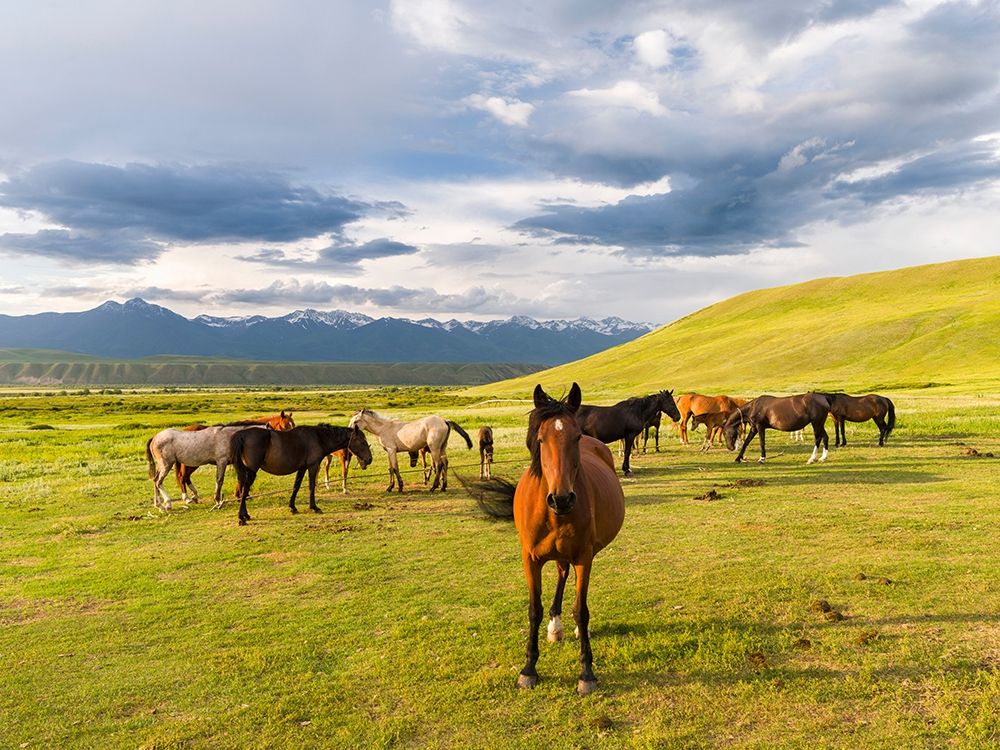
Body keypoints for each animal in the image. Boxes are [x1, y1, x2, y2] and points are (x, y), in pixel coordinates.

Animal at [146, 422, 278, 510]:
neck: (230, 437)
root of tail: (155, 438)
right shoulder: (221, 462)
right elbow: (219, 481)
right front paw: (218, 501)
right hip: (166, 465)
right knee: (159, 482)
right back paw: (168, 504)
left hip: (162, 466)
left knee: (155, 481)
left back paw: (159, 505)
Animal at [230, 424, 372, 526]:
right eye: (362, 442)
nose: (369, 459)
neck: (318, 438)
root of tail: (242, 435)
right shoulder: (313, 466)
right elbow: (311, 486)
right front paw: (314, 507)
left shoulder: (302, 468)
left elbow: (296, 486)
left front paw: (293, 507)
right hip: (252, 471)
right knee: (245, 490)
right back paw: (242, 517)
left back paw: (245, 515)